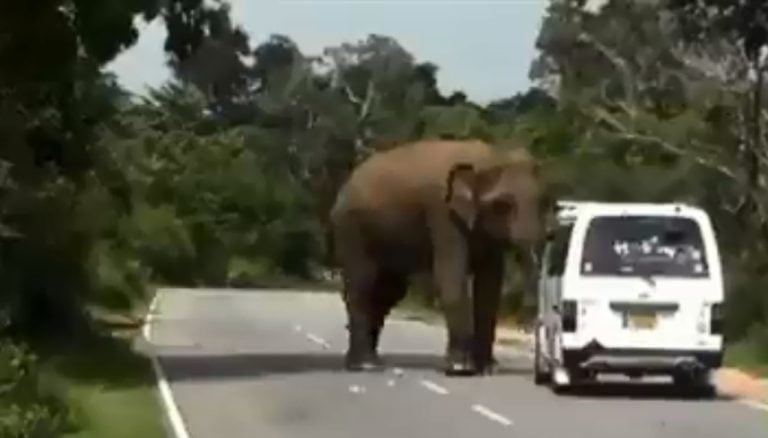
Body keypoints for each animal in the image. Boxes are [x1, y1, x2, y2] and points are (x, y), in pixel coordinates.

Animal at [329, 139, 543, 376]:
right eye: (502, 205)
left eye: (543, 200)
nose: (526, 323)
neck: (490, 154)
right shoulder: (442, 212)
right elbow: (450, 275)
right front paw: (460, 368)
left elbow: (489, 287)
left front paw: (487, 369)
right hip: (351, 230)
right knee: (362, 286)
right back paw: (364, 365)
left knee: (387, 292)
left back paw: (368, 361)